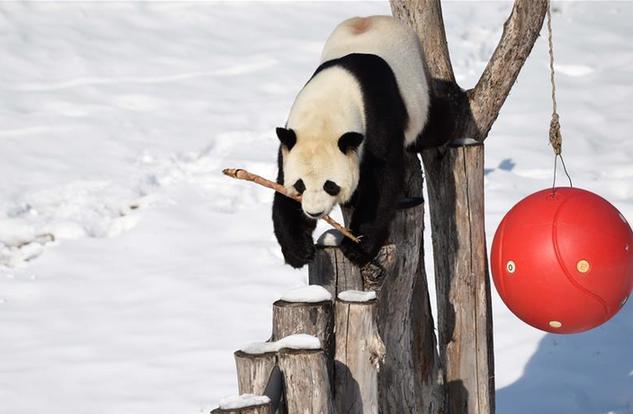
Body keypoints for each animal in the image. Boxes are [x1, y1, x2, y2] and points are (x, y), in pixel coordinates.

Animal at [272, 15, 430, 268]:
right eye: (300, 185)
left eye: (330, 185)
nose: (314, 212)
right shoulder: (290, 141)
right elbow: (281, 188)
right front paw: (298, 249)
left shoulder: (377, 119)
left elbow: (382, 180)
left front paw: (357, 248)